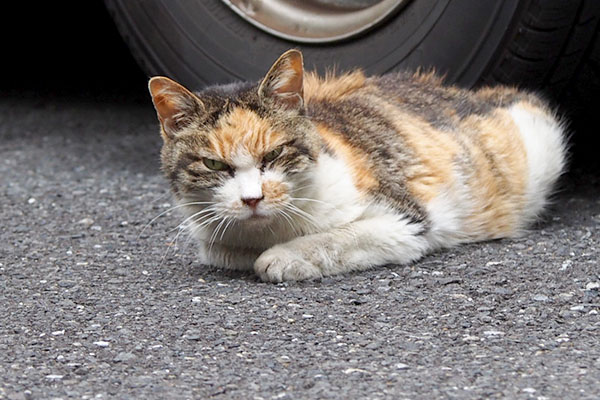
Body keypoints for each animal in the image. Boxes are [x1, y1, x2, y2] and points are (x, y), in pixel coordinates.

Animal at [148, 49, 564, 282]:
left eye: (274, 154)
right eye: (213, 163)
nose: (252, 199)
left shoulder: (404, 221)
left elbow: (335, 238)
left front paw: (282, 257)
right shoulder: (212, 240)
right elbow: (225, 250)